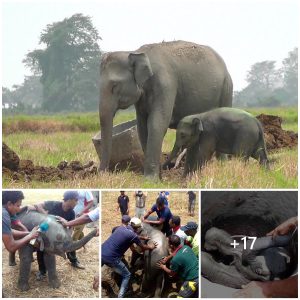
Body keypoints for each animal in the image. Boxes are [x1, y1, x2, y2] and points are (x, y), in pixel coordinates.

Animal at [99, 40, 233, 179]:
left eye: (114, 86)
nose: (101, 174)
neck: (135, 52)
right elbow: (142, 127)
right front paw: (157, 178)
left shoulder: (166, 85)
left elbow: (157, 124)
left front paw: (151, 179)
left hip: (227, 88)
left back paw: (221, 166)